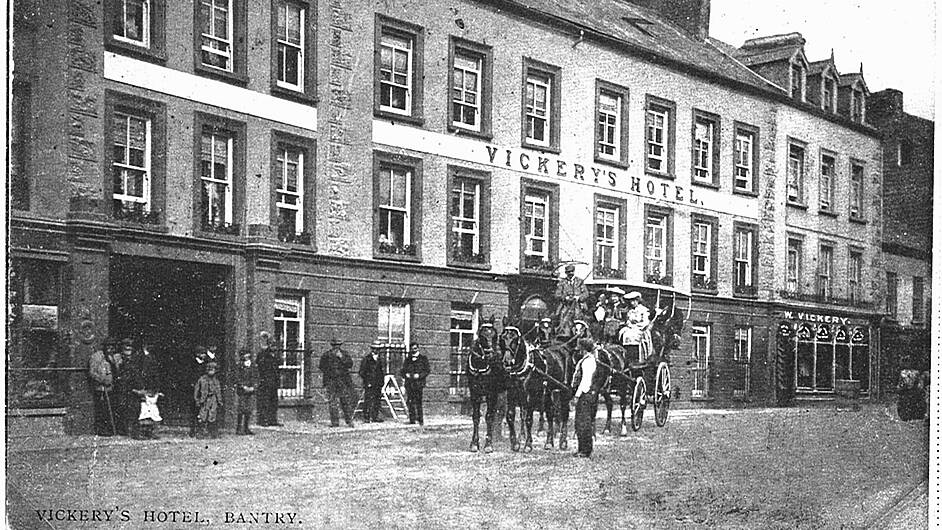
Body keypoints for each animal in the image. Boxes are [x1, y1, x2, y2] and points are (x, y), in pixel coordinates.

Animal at [468, 320, 512, 452]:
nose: (491, 356)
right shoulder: (474, 393)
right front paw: (474, 443)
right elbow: (476, 417)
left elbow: (488, 416)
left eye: (495, 335)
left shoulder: (491, 394)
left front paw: (488, 444)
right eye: (482, 335)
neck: (480, 365)